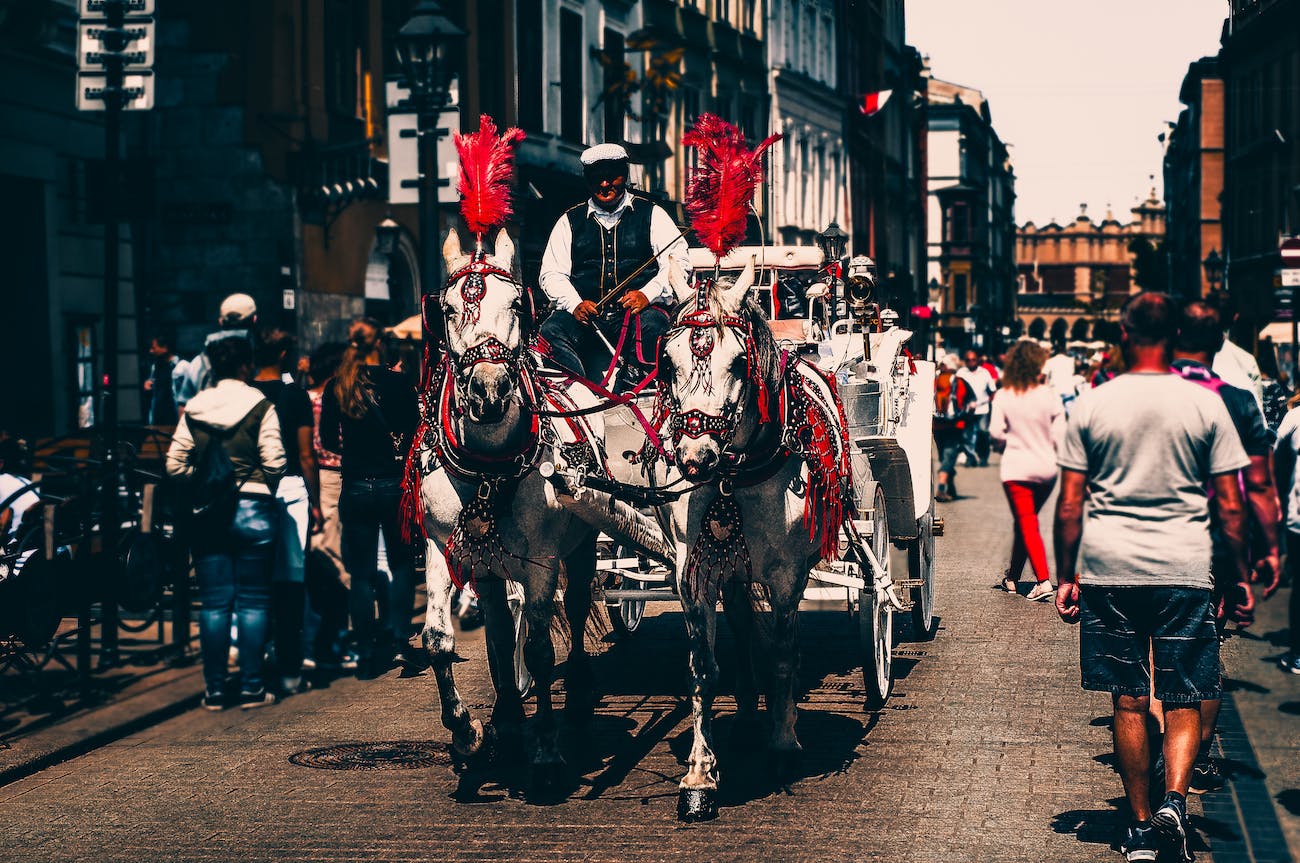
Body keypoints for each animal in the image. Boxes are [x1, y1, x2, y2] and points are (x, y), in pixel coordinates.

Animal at [410, 227, 603, 790]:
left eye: (517, 303)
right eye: (448, 309)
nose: (489, 390)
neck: (488, 465)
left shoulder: (541, 559)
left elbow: (538, 648)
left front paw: (547, 752)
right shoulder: (442, 547)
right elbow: (438, 640)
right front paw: (467, 733)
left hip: (580, 544)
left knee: (575, 605)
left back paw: (572, 696)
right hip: (488, 563)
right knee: (498, 628)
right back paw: (507, 717)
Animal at [660, 259, 852, 821]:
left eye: (739, 363)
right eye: (667, 363)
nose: (694, 457)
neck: (733, 477)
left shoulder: (788, 574)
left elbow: (785, 654)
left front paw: (783, 742)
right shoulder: (694, 572)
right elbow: (702, 668)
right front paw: (700, 776)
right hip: (729, 565)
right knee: (743, 624)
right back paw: (746, 711)